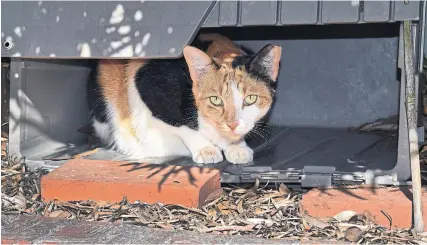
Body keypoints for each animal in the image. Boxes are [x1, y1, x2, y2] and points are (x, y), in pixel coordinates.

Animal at [86, 33, 280, 164]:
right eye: (216, 100)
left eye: (251, 99)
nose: (232, 124)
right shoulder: (151, 85)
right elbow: (183, 125)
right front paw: (206, 149)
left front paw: (238, 147)